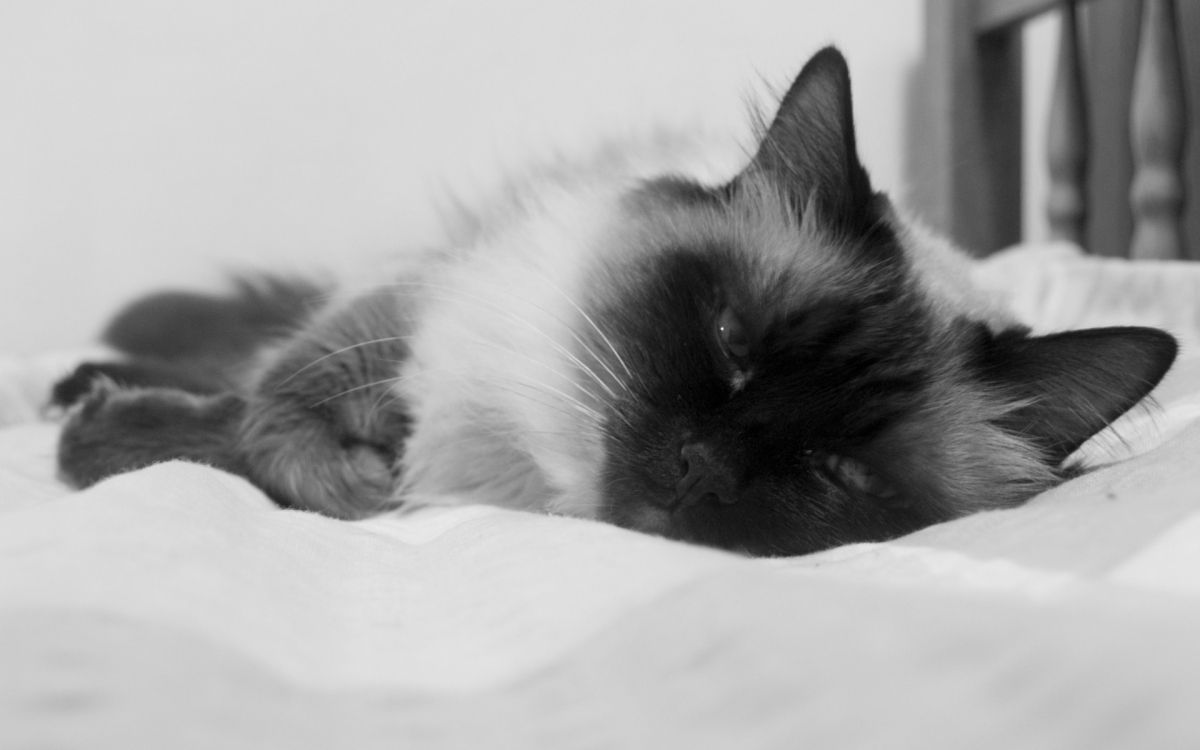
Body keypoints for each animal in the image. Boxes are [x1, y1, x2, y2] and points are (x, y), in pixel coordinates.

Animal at [51, 48, 1176, 556]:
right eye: (729, 342)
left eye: (833, 467)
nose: (699, 463)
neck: (532, 470)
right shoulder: (418, 324)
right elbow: (267, 408)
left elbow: (248, 446)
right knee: (238, 354)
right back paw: (76, 383)